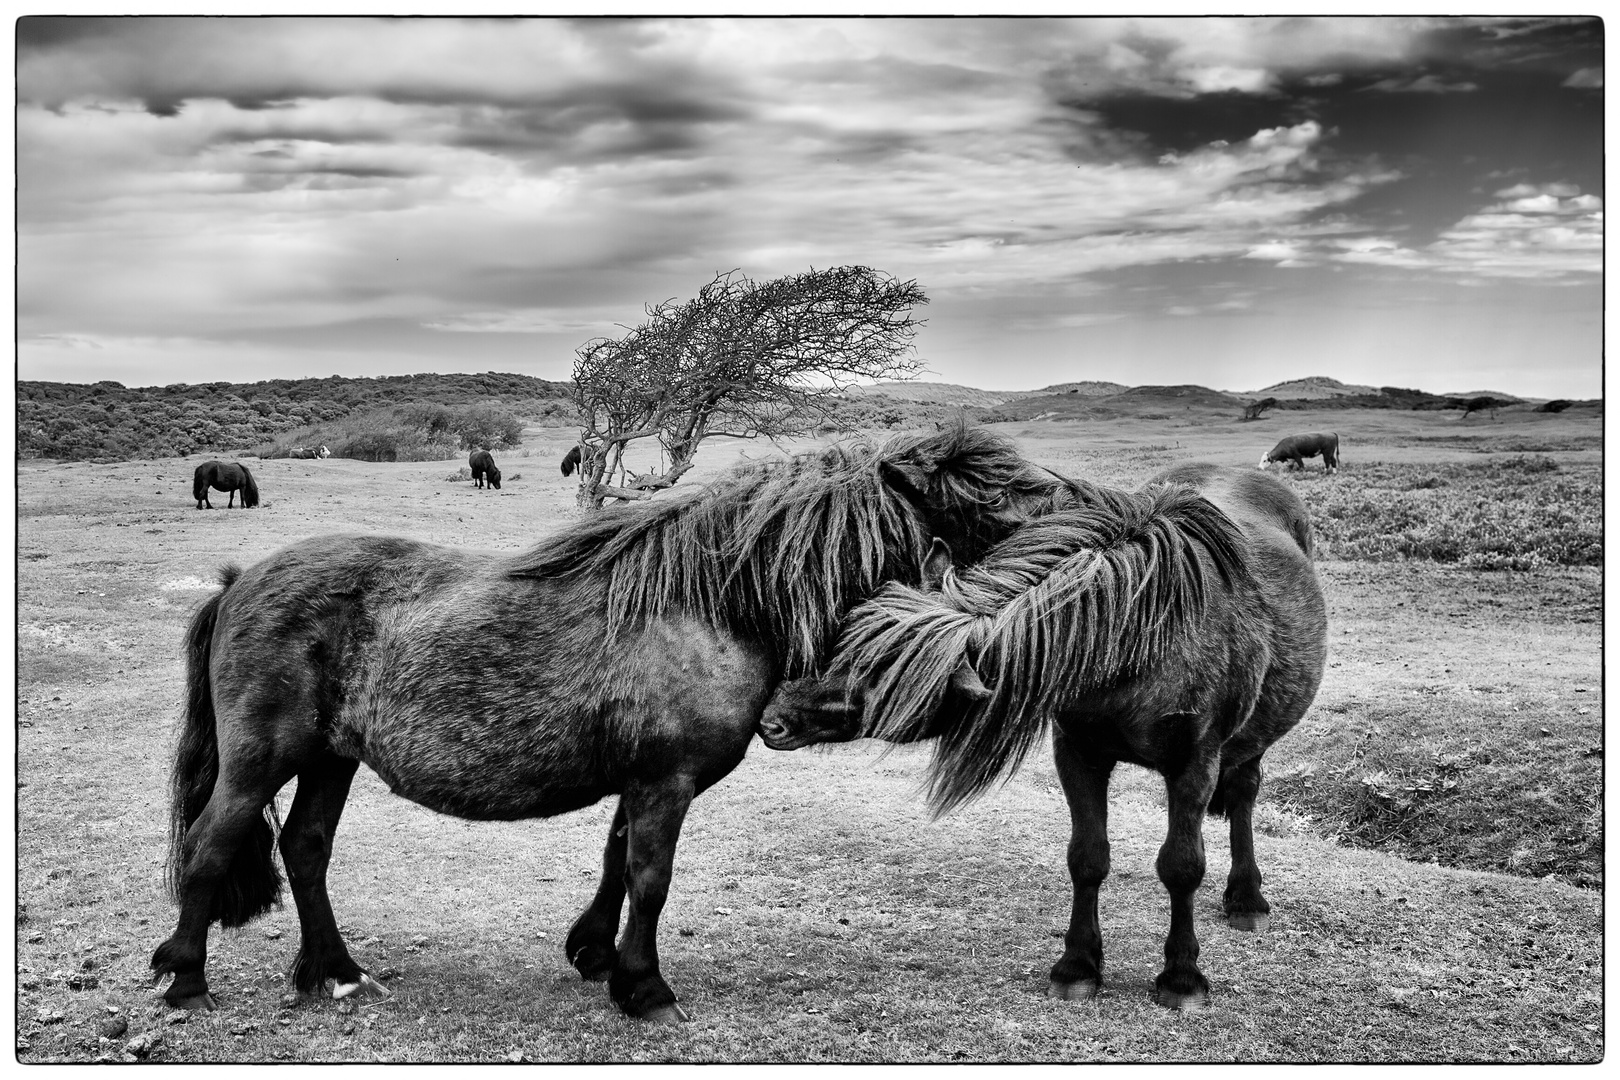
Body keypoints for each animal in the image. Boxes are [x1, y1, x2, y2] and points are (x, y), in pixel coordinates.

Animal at [149, 420, 1062, 1023]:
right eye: (989, 494)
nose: (1068, 538)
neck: (716, 606)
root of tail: (238, 580)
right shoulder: (668, 780)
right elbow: (652, 879)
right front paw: (647, 989)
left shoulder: (646, 780)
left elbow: (619, 862)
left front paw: (595, 955)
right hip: (262, 761)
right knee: (211, 846)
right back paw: (187, 980)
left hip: (331, 760)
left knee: (305, 850)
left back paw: (335, 972)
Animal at [758, 466, 1328, 1016]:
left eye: (880, 674)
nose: (772, 721)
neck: (1139, 639)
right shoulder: (1077, 754)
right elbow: (1087, 858)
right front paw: (1077, 967)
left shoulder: (1195, 764)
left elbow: (1182, 866)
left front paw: (1182, 977)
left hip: (1252, 743)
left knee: (1245, 794)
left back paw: (1246, 899)